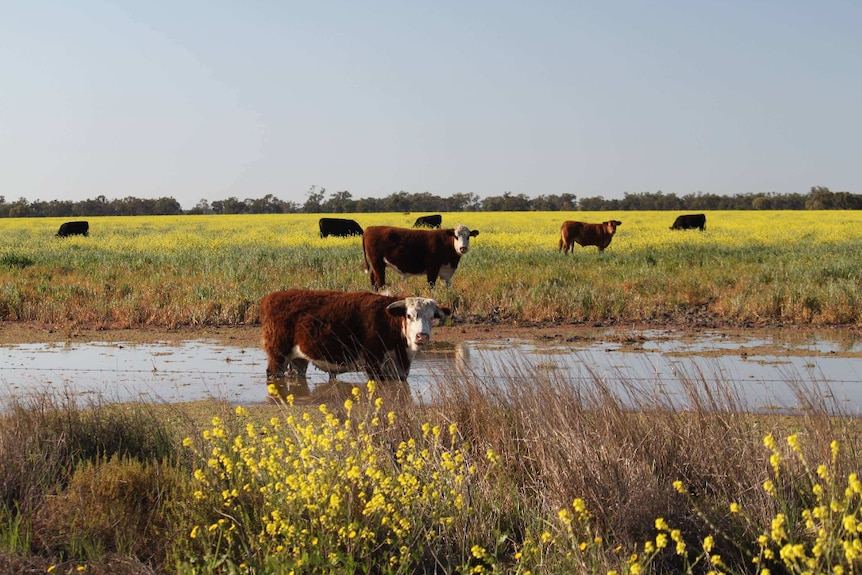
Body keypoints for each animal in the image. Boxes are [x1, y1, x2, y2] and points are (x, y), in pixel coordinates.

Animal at [260, 289, 451, 384]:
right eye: (409, 315)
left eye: (431, 317)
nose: (422, 336)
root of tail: (273, 297)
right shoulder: (373, 364)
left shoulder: (398, 371)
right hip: (278, 356)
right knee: (273, 373)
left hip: (298, 359)